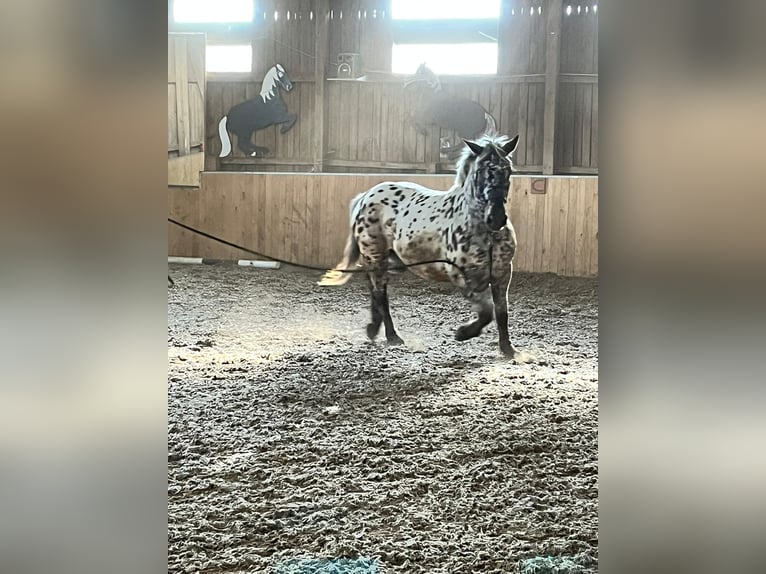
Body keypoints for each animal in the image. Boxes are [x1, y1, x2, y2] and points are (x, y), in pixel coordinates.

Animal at [320, 136, 524, 360]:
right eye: (481, 170)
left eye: (507, 169)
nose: (496, 218)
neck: (484, 232)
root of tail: (366, 197)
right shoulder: (463, 276)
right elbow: (487, 311)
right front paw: (463, 333)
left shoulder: (502, 274)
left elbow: (501, 313)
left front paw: (508, 350)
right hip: (375, 255)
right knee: (381, 294)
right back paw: (392, 336)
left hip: (383, 259)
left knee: (373, 288)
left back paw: (373, 329)